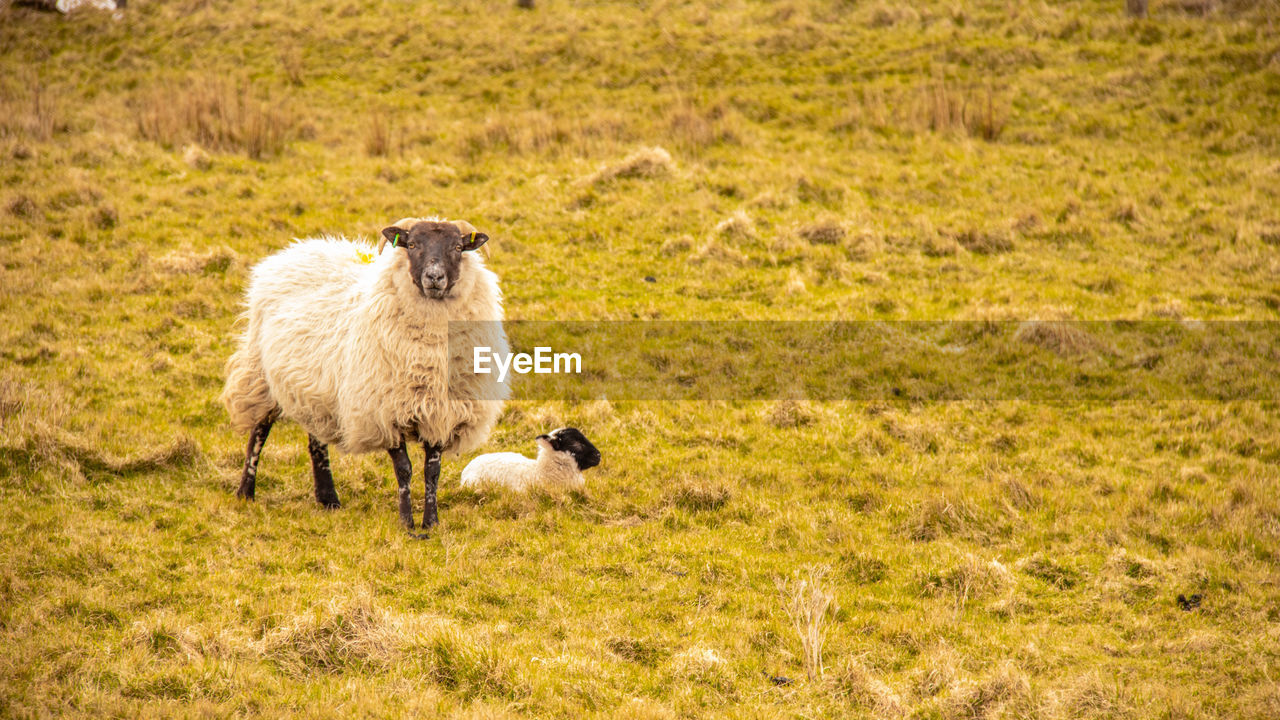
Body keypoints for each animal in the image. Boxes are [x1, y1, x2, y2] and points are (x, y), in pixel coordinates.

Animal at [220, 216, 509, 536]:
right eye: (412, 245)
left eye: (458, 247)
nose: (434, 277)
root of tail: (298, 249)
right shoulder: (384, 412)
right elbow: (404, 470)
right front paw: (407, 523)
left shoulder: (440, 414)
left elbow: (432, 471)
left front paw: (431, 523)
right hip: (261, 373)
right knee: (259, 431)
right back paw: (246, 492)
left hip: (315, 386)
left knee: (316, 441)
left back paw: (328, 498)